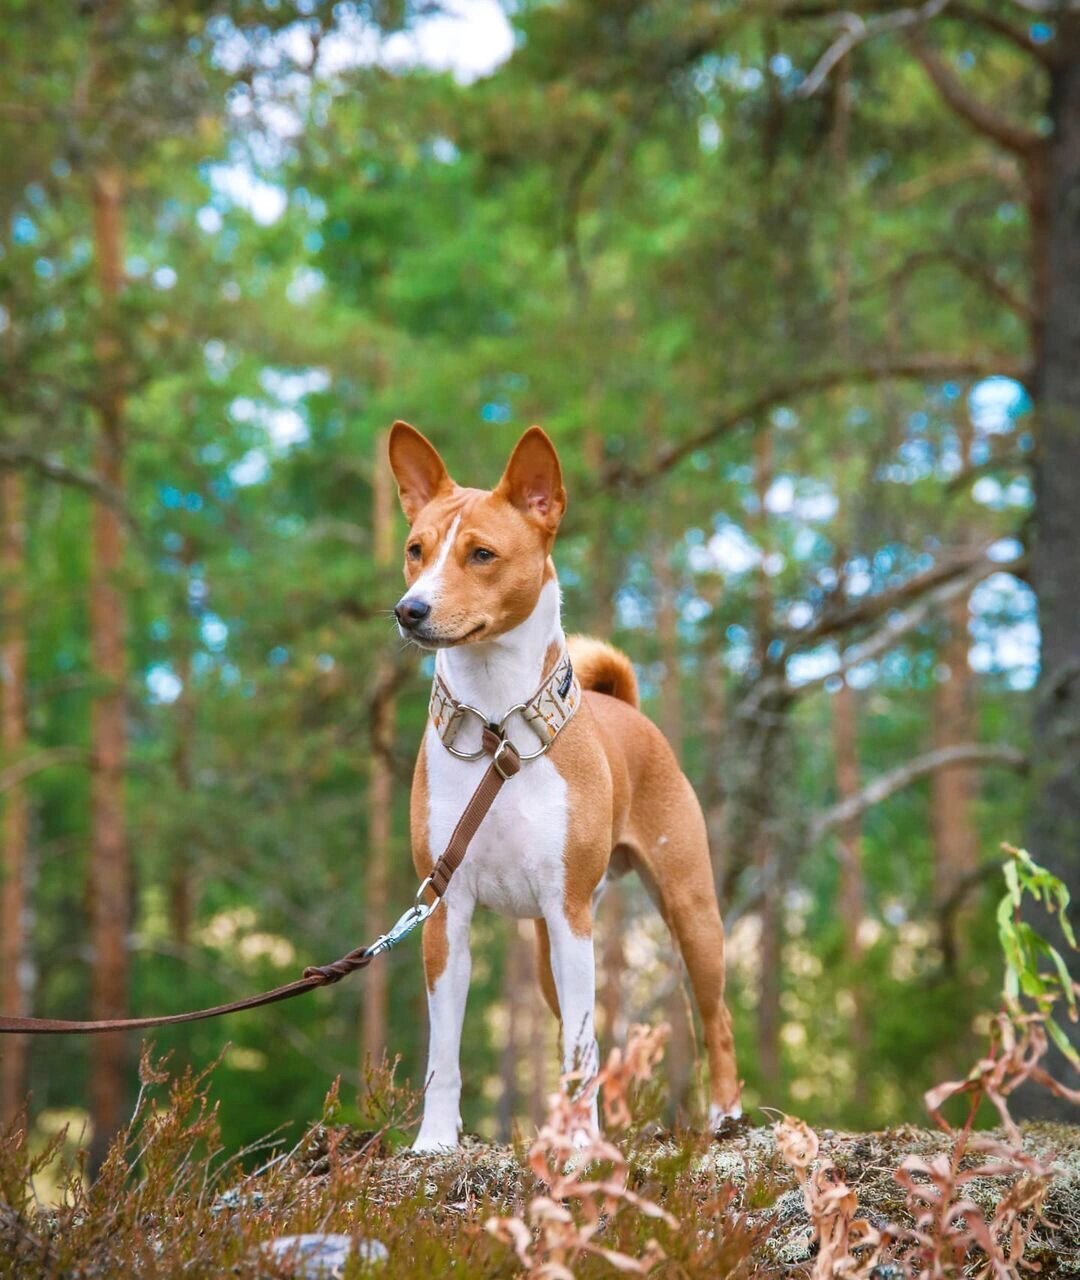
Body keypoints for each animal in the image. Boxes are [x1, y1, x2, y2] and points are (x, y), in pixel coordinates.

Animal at [389, 419, 742, 1152]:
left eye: (482, 554)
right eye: (415, 550)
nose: (410, 610)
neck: (497, 730)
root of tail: (626, 708)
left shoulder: (569, 910)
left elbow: (584, 1046)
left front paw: (583, 1147)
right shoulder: (447, 912)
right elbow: (444, 1055)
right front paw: (435, 1141)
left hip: (689, 914)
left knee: (715, 1020)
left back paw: (727, 1115)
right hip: (549, 950)